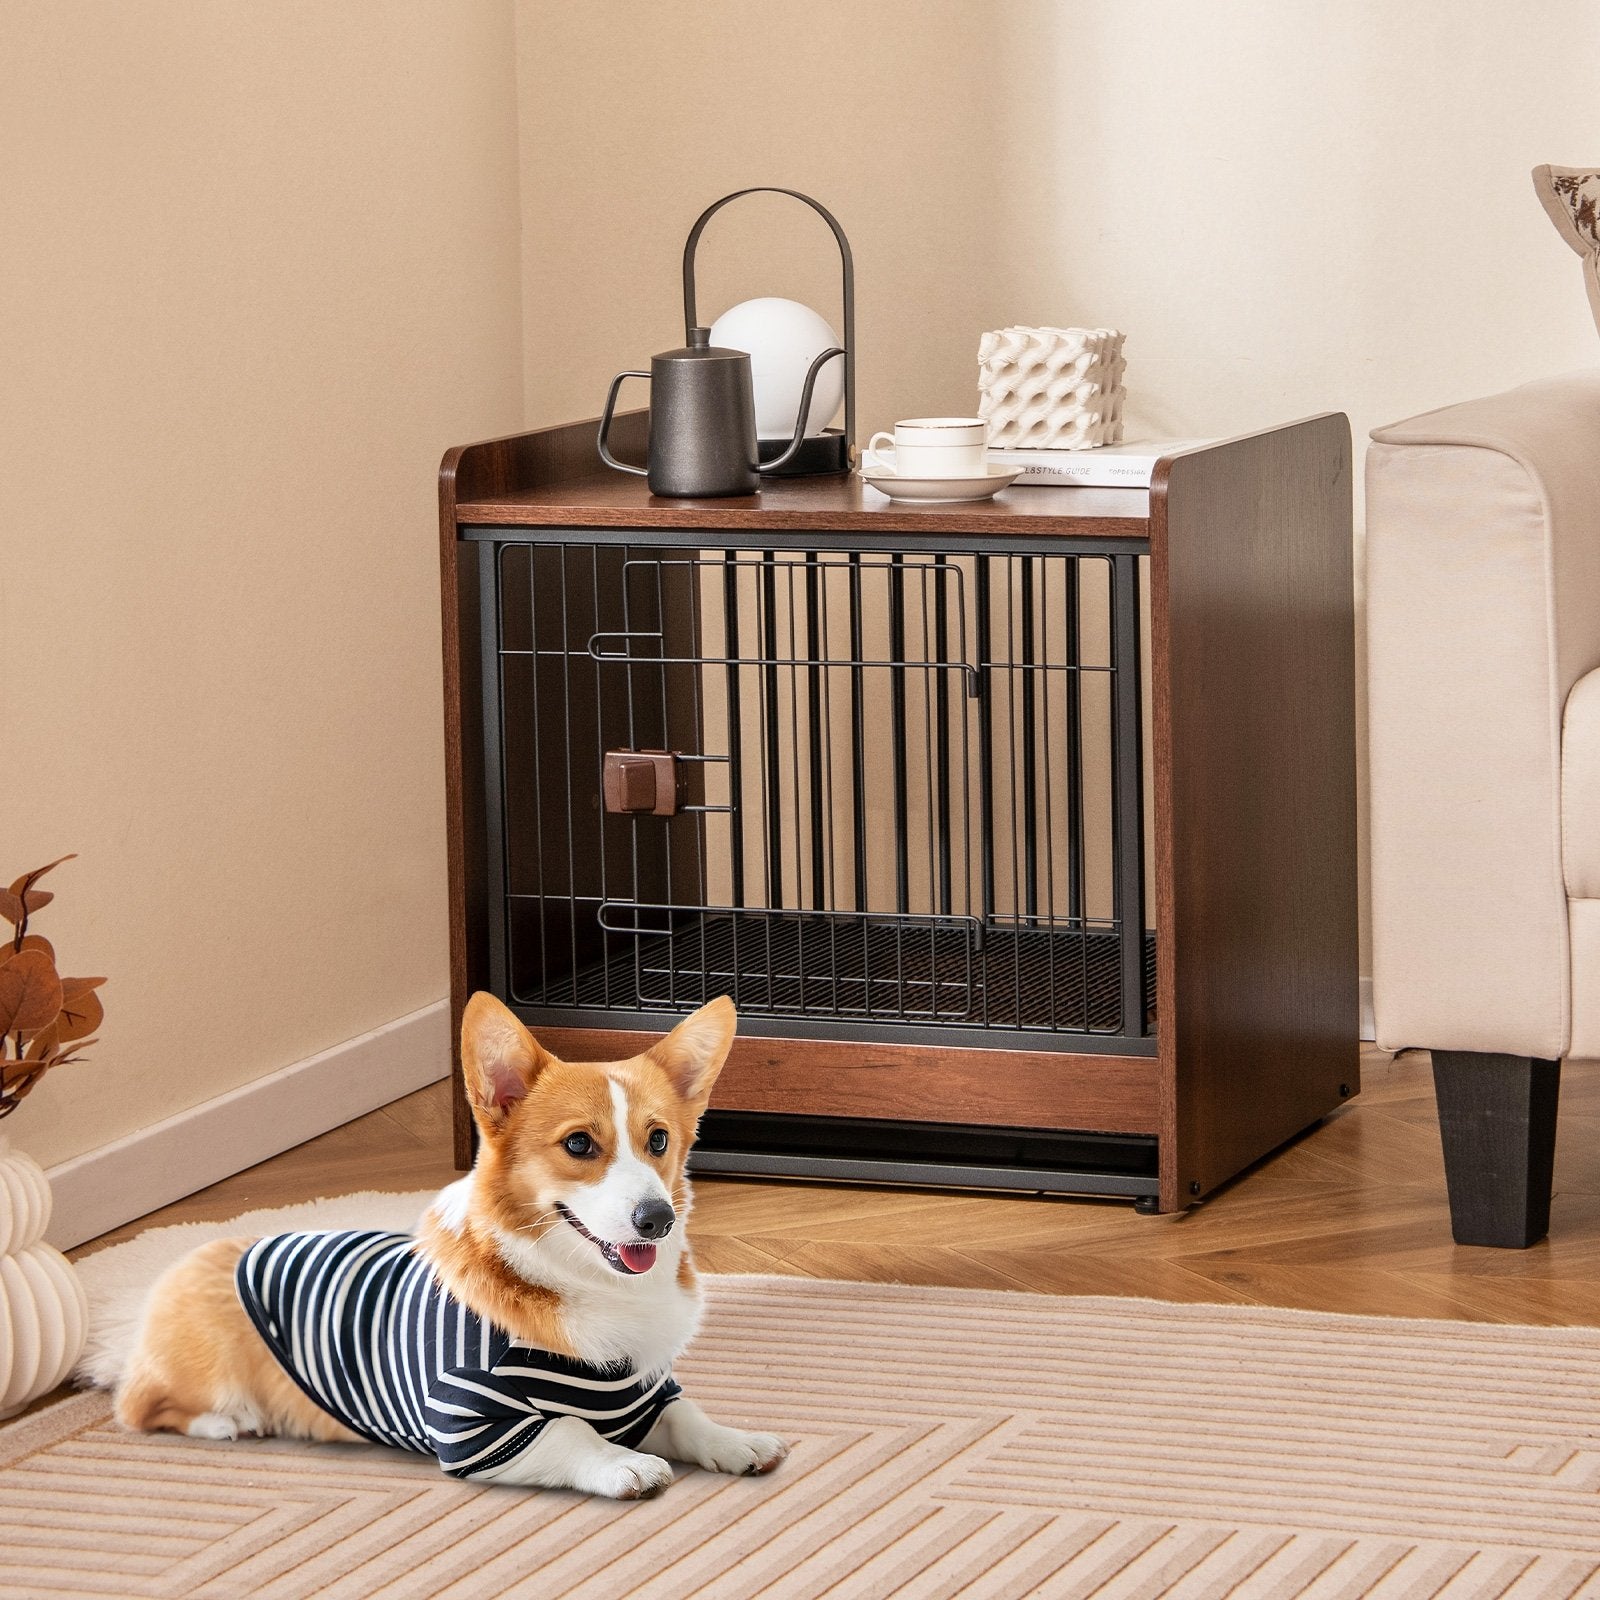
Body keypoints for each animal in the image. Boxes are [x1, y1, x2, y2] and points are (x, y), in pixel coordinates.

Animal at [112, 985, 787, 1497]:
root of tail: (187, 1260)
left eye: (658, 1140)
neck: (588, 1285)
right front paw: (625, 1463)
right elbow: (570, 1431)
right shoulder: (474, 1425)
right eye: (578, 1144)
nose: (656, 1219)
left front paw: (738, 1441)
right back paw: (230, 1423)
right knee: (141, 1405)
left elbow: (688, 1414)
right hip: (202, 1369)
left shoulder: (645, 1393)